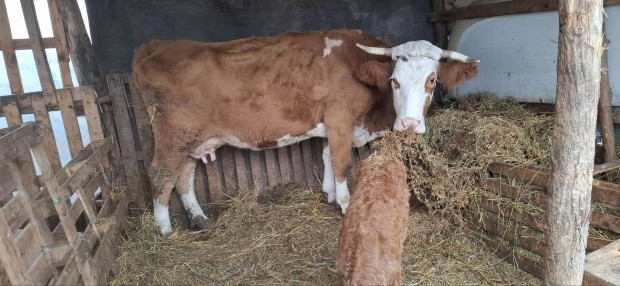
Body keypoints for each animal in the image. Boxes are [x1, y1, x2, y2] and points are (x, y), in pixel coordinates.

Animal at [133, 29, 478, 235]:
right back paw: (164, 229)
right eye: (394, 80)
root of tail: (156, 45)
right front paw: (344, 204)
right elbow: (341, 162)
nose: (409, 124)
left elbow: (326, 157)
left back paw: (199, 219)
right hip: (173, 134)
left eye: (432, 80)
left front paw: (328, 194)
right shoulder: (340, 120)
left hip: (196, 139)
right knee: (160, 174)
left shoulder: (331, 126)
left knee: (184, 176)